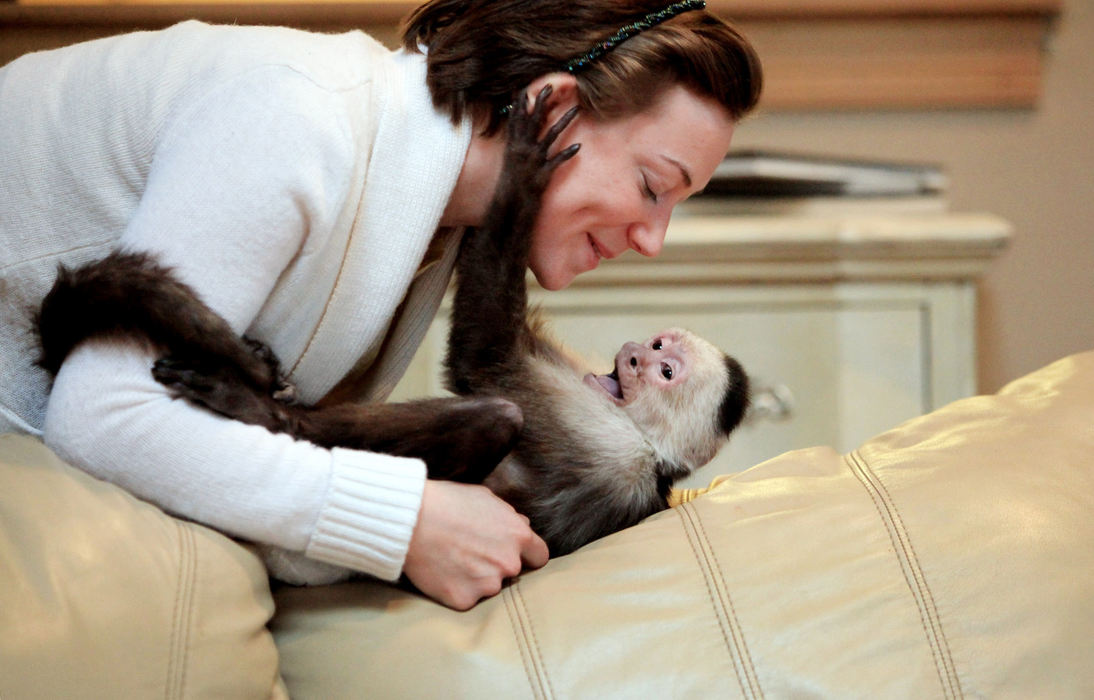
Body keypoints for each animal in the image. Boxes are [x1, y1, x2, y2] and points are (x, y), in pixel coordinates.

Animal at [36, 87, 752, 557]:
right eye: (655, 347)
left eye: (663, 371)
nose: (631, 354)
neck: (654, 455)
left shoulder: (605, 439)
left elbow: (481, 355)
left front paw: (521, 177)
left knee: (496, 415)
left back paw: (268, 416)